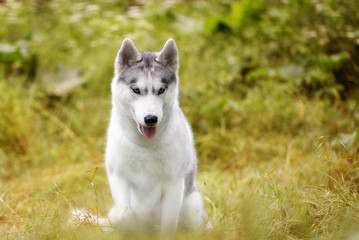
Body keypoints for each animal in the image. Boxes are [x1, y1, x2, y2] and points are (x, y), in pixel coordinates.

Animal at [104, 39, 211, 232]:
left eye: (161, 90)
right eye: (136, 90)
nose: (151, 119)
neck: (146, 145)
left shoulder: (174, 183)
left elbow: (168, 224)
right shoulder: (118, 177)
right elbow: (126, 215)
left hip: (192, 204)